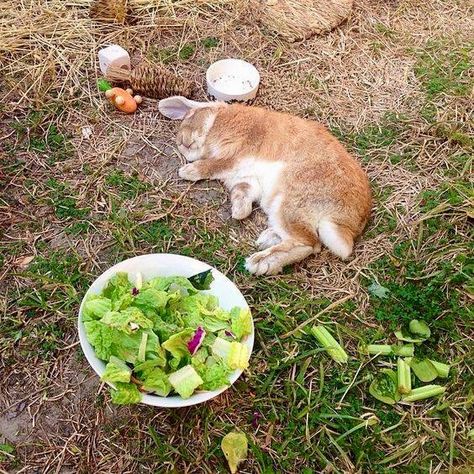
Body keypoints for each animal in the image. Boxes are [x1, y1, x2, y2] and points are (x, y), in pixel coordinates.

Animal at [157, 95, 372, 274]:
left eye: (190, 117)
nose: (182, 143)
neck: (218, 119)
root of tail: (348, 225)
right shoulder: (248, 181)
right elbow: (243, 194)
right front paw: (238, 212)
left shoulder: (236, 154)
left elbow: (213, 166)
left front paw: (188, 171)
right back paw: (266, 239)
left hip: (288, 202)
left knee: (309, 243)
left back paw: (260, 263)